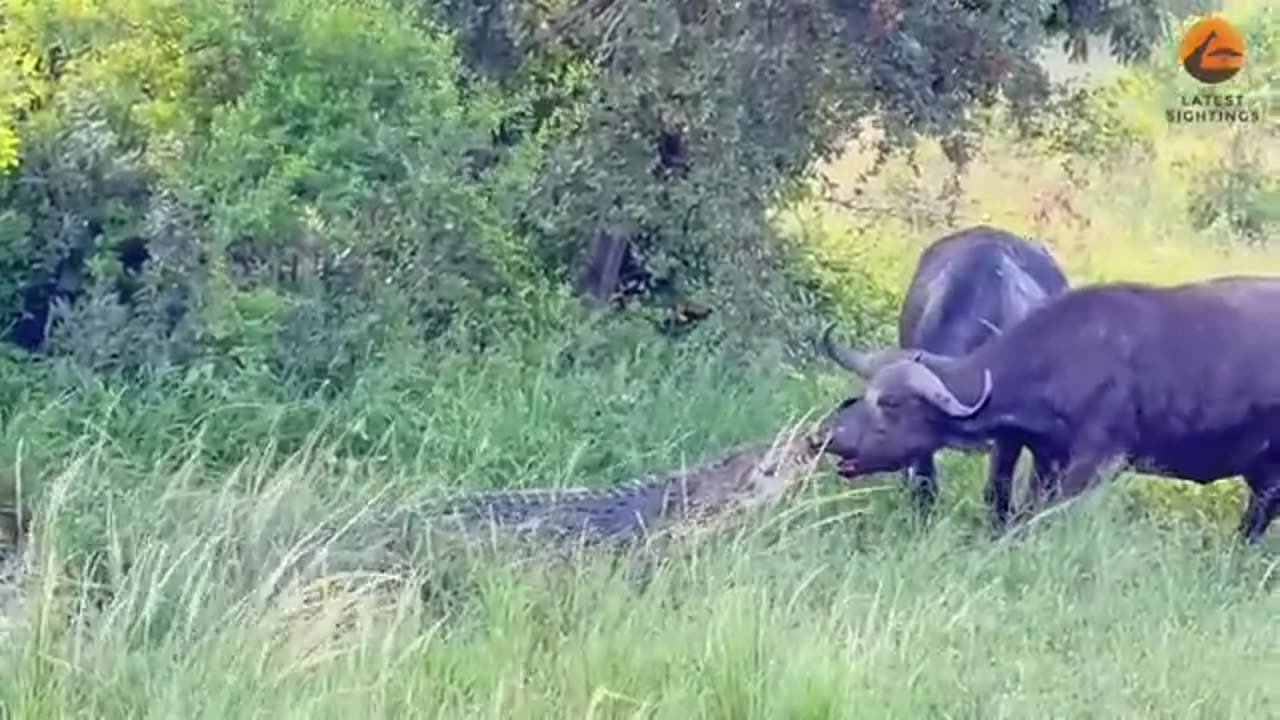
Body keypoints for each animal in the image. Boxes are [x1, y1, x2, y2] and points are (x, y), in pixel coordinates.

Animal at [814, 274, 1280, 538]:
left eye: (891, 403)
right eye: (861, 393)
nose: (826, 437)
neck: (1062, 357)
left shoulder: (1095, 461)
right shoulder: (1044, 458)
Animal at [819, 224, 1070, 520]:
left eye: (892, 403)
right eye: (867, 396)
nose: (831, 438)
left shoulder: (1011, 435)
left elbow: (997, 487)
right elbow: (924, 482)